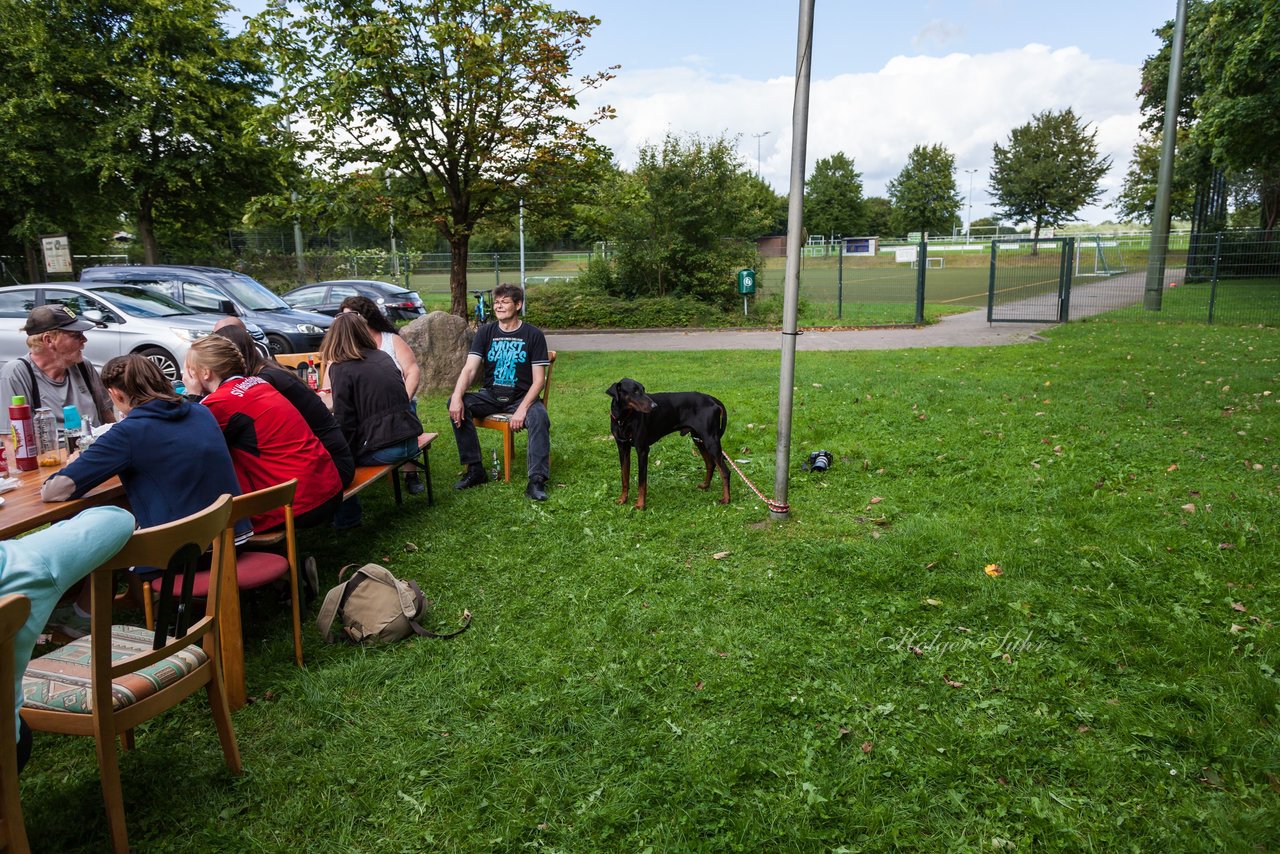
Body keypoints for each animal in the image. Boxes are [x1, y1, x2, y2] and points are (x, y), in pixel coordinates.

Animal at [601, 378, 727, 512]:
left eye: (643, 390)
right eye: (634, 391)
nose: (654, 406)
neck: (623, 418)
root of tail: (711, 399)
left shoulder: (642, 449)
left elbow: (642, 482)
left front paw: (640, 504)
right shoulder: (622, 447)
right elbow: (624, 477)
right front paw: (622, 499)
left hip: (710, 441)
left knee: (725, 471)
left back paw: (726, 499)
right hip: (698, 440)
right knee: (710, 464)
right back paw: (705, 486)